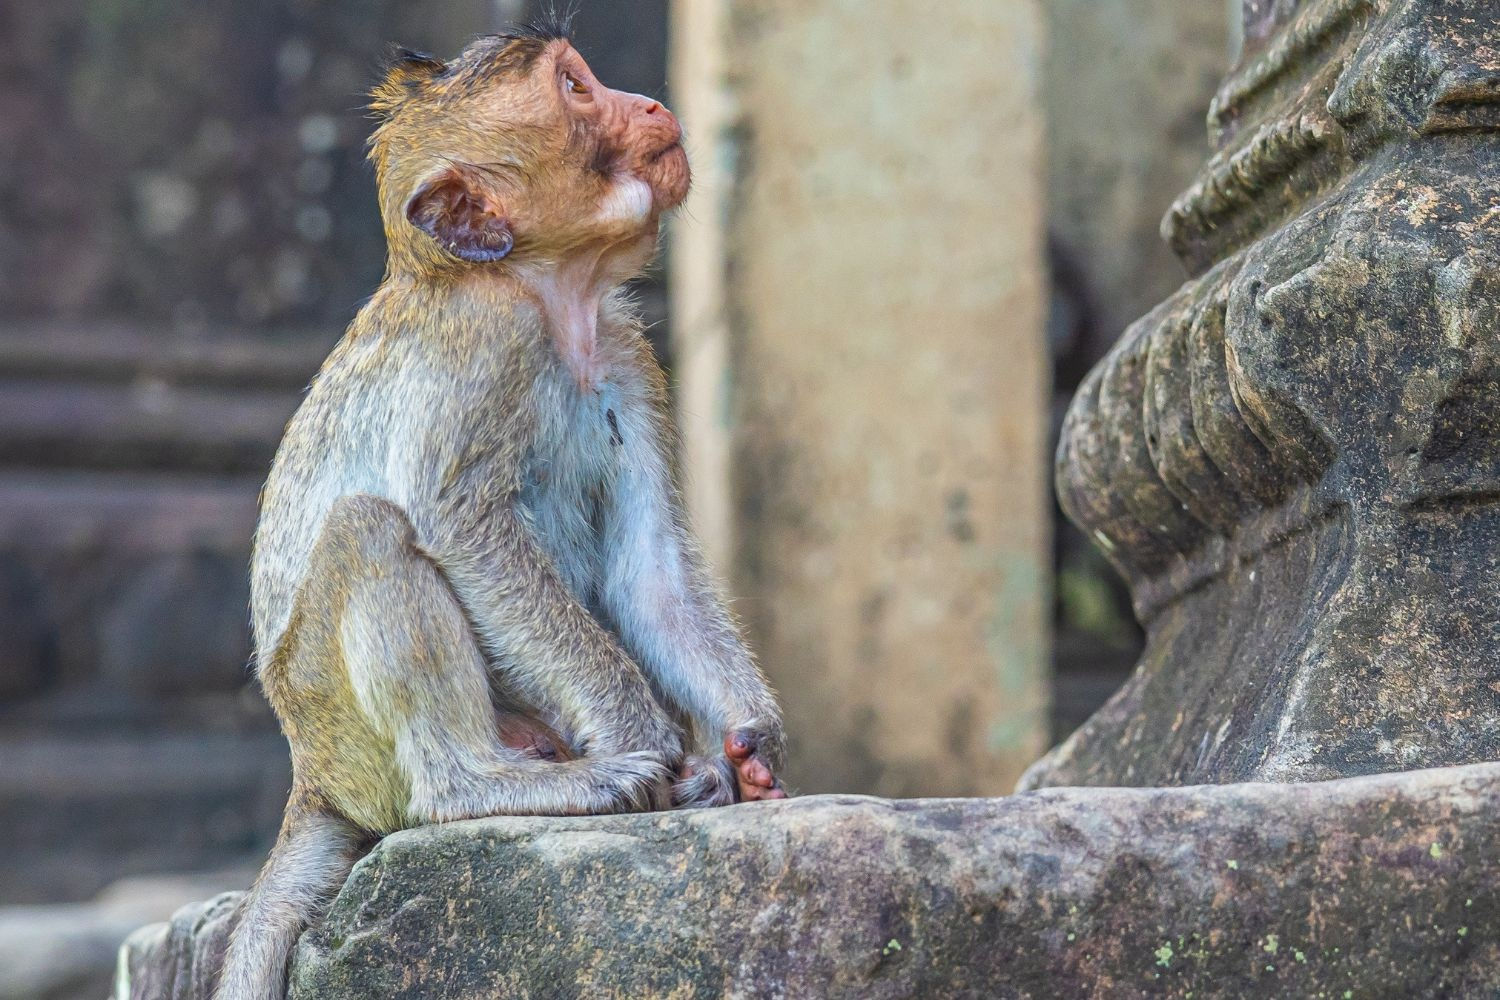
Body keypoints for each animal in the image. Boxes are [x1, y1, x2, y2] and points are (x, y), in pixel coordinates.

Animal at [214, 18, 785, 1000]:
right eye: (576, 89)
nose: (650, 102)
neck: (551, 295)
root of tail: (311, 775)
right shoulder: (486, 350)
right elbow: (464, 531)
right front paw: (644, 738)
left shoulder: (628, 355)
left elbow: (650, 568)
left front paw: (746, 739)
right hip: (339, 723)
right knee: (370, 531)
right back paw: (489, 785)